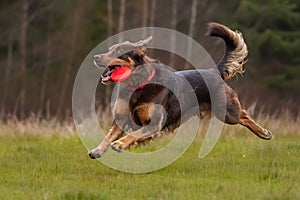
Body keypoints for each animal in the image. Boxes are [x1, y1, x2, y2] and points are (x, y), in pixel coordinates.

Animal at [88, 21, 272, 159]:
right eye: (110, 49)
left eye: (119, 51)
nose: (95, 57)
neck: (139, 84)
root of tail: (213, 71)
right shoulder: (121, 118)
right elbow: (108, 135)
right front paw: (97, 150)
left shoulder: (155, 123)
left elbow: (134, 134)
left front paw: (120, 144)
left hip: (226, 111)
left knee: (243, 115)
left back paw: (263, 133)